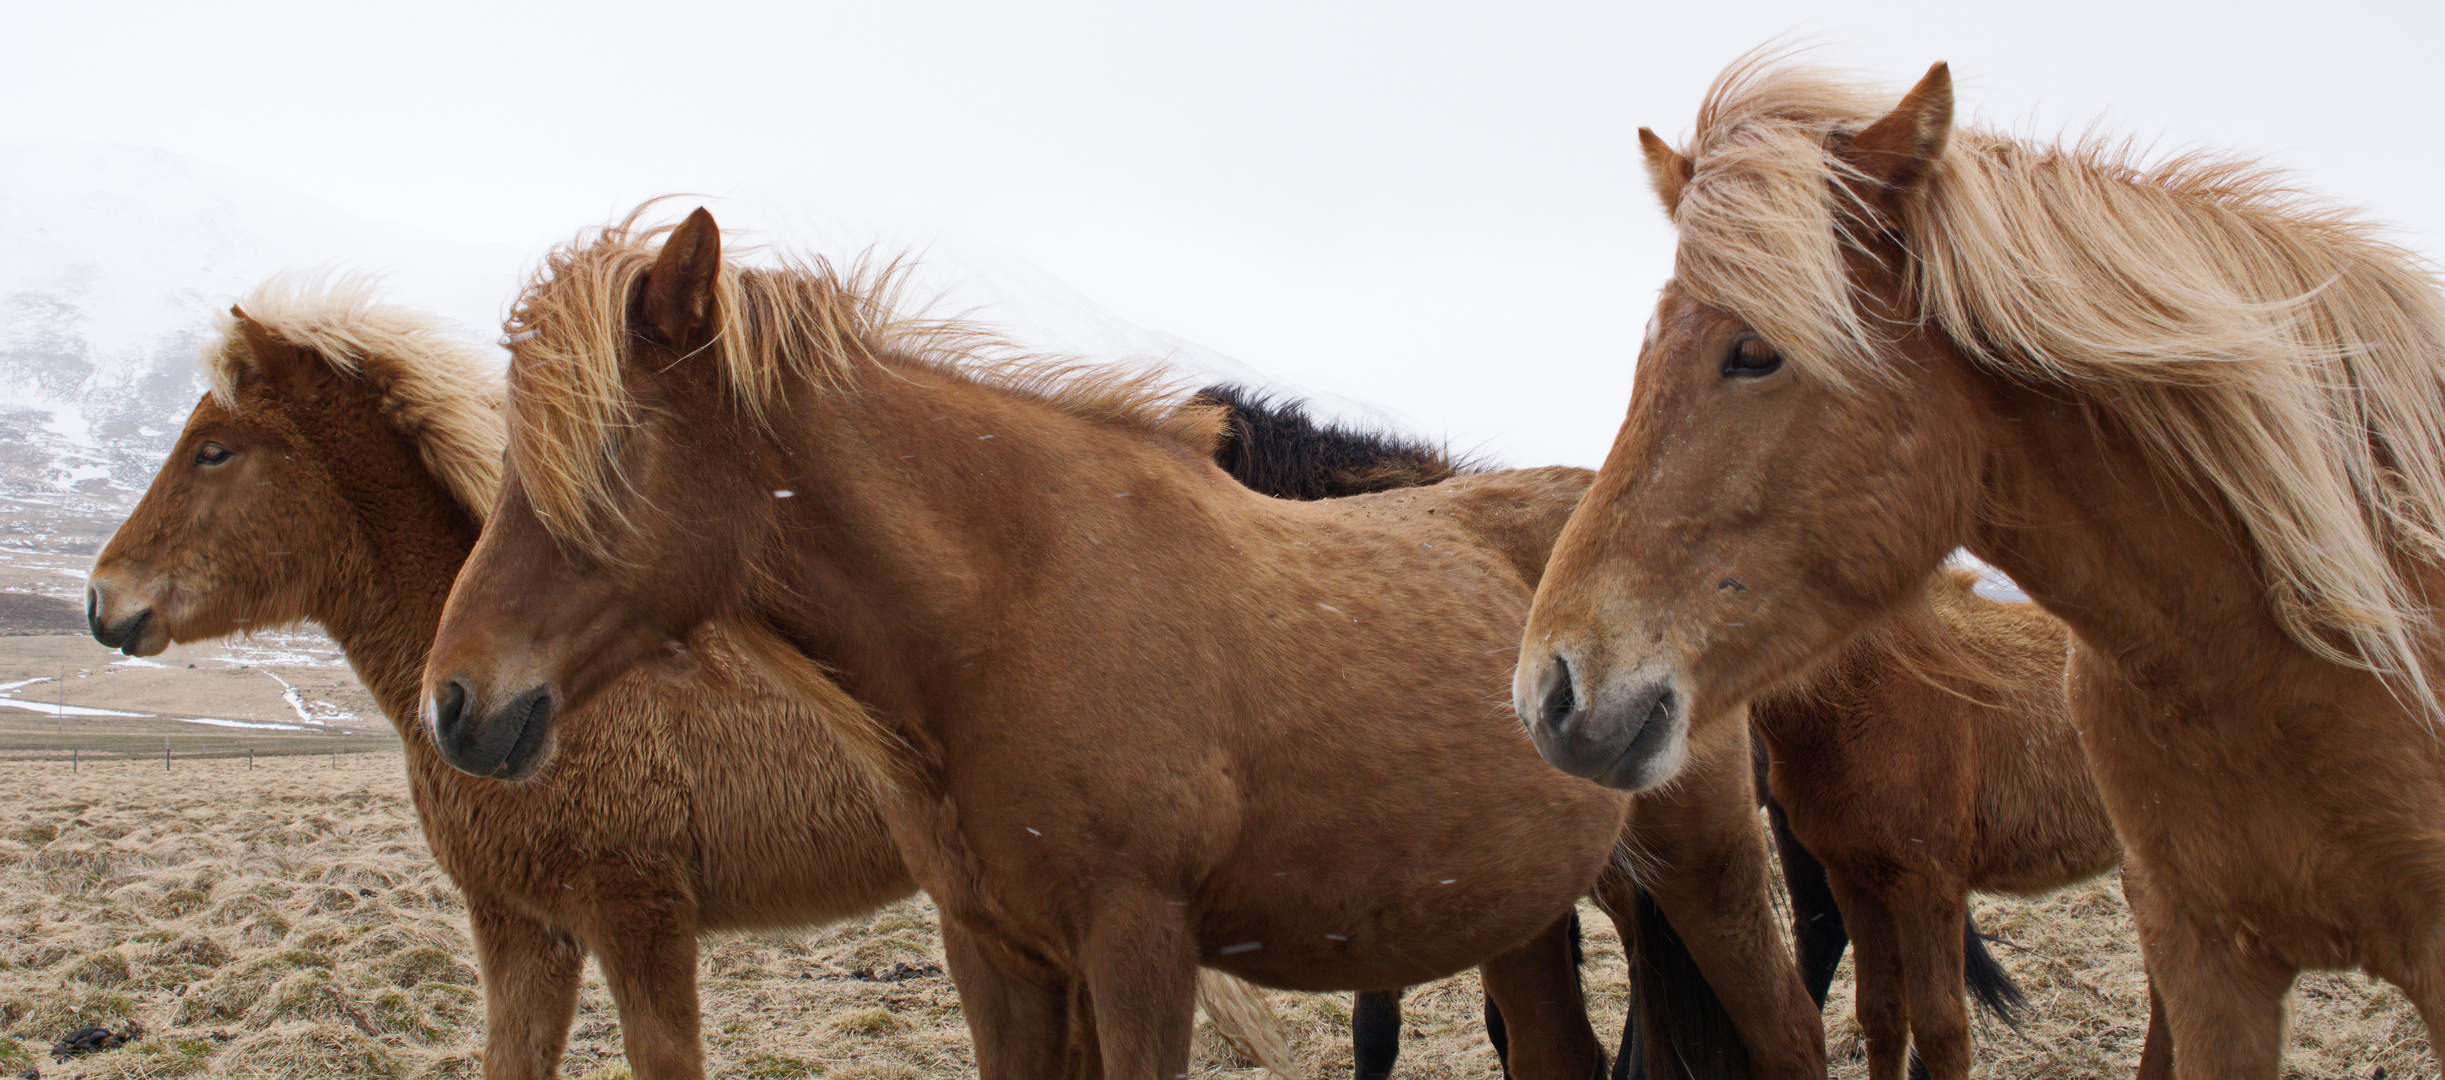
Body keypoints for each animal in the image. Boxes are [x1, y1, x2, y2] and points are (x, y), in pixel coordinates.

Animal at [415, 211, 1838, 1080]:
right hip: (1528, 914)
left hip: (1709, 873)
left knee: (1787, 1036)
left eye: (609, 453)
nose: (458, 703)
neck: (1010, 609)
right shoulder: (998, 958)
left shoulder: (1139, 947)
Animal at [1515, 52, 2445, 1080]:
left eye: (1752, 350)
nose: (1550, 692)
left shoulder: (1928, 880)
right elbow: (1884, 1015)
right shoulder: (2189, 951)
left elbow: (1941, 1030)